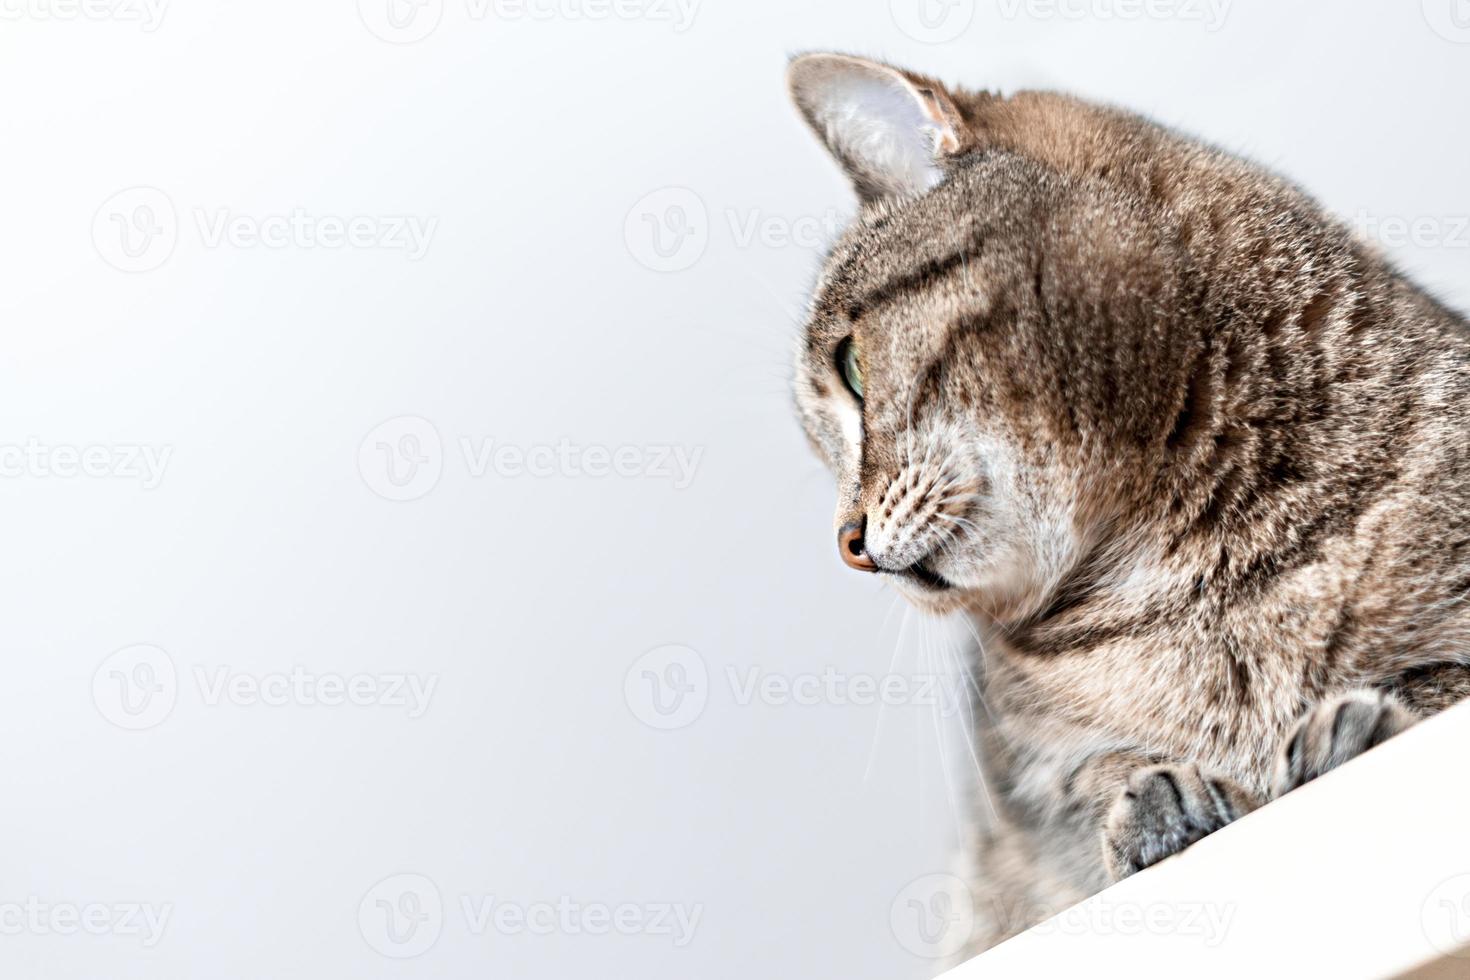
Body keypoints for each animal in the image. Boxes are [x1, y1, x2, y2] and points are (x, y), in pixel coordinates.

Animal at [787, 53, 1470, 957]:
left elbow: (1440, 674)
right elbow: (1092, 781)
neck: (1198, 569)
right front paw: (1154, 794)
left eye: (853, 368)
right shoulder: (1026, 802)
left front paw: (1357, 722)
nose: (848, 542)